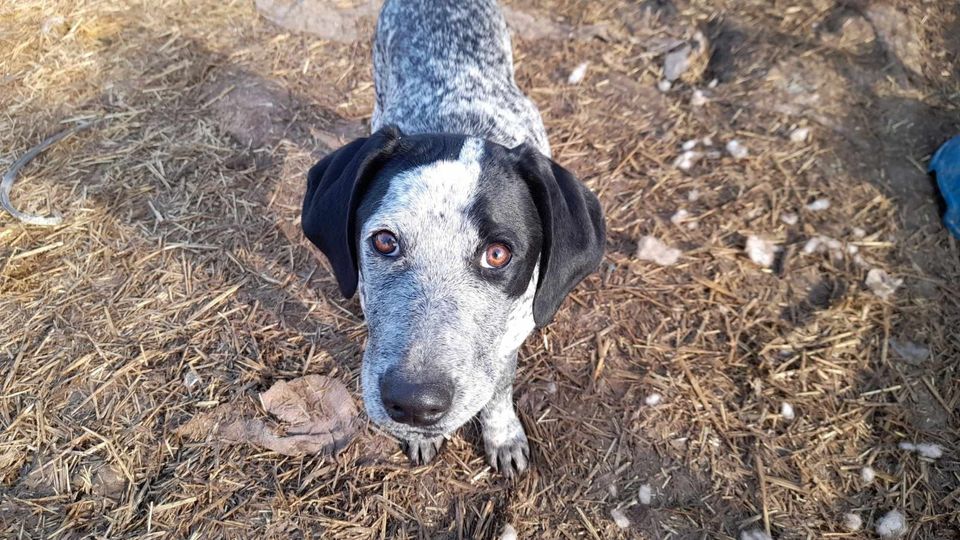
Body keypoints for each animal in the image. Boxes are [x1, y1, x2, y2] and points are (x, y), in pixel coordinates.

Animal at [300, 0, 604, 476]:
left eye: (497, 254)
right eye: (384, 241)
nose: (413, 404)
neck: (458, 119)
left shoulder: (511, 337)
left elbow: (498, 388)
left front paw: (502, 435)